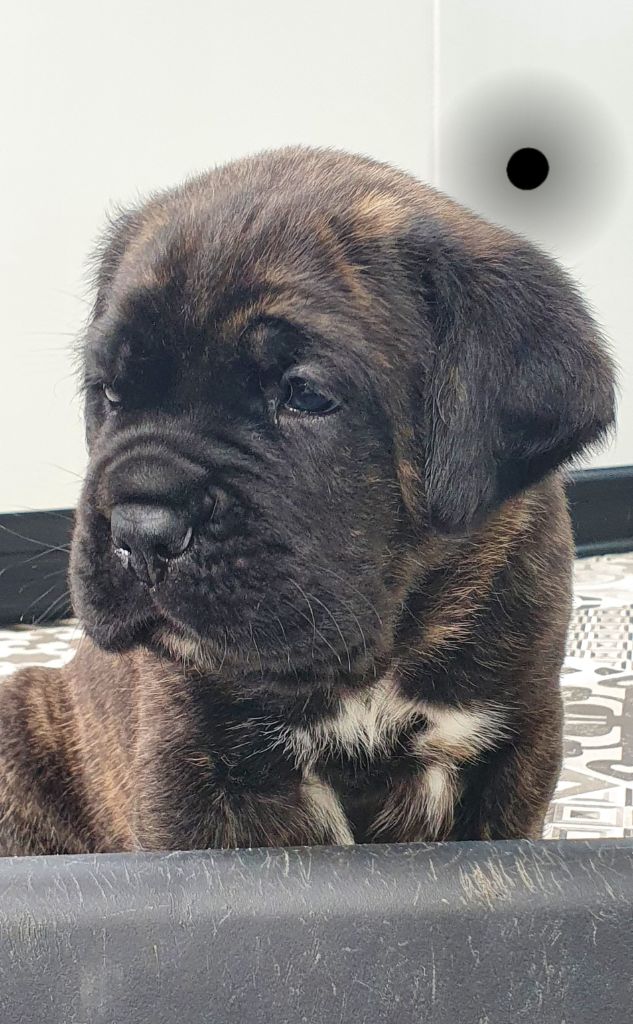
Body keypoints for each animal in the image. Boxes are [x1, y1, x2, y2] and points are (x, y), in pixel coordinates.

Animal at [0, 147, 615, 855]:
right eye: (110, 392)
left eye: (306, 395)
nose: (142, 529)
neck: (377, 660)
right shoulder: (186, 764)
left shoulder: (516, 746)